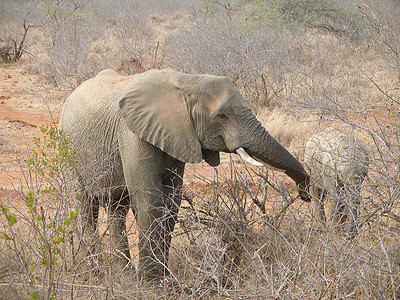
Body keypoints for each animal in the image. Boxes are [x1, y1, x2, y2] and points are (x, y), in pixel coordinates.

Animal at [58, 69, 310, 280]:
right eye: (222, 116)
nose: (306, 194)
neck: (188, 81)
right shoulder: (131, 133)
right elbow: (149, 198)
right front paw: (151, 283)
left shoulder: (177, 135)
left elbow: (172, 201)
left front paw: (165, 278)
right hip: (69, 147)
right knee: (85, 206)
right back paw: (95, 272)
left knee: (116, 207)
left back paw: (124, 274)